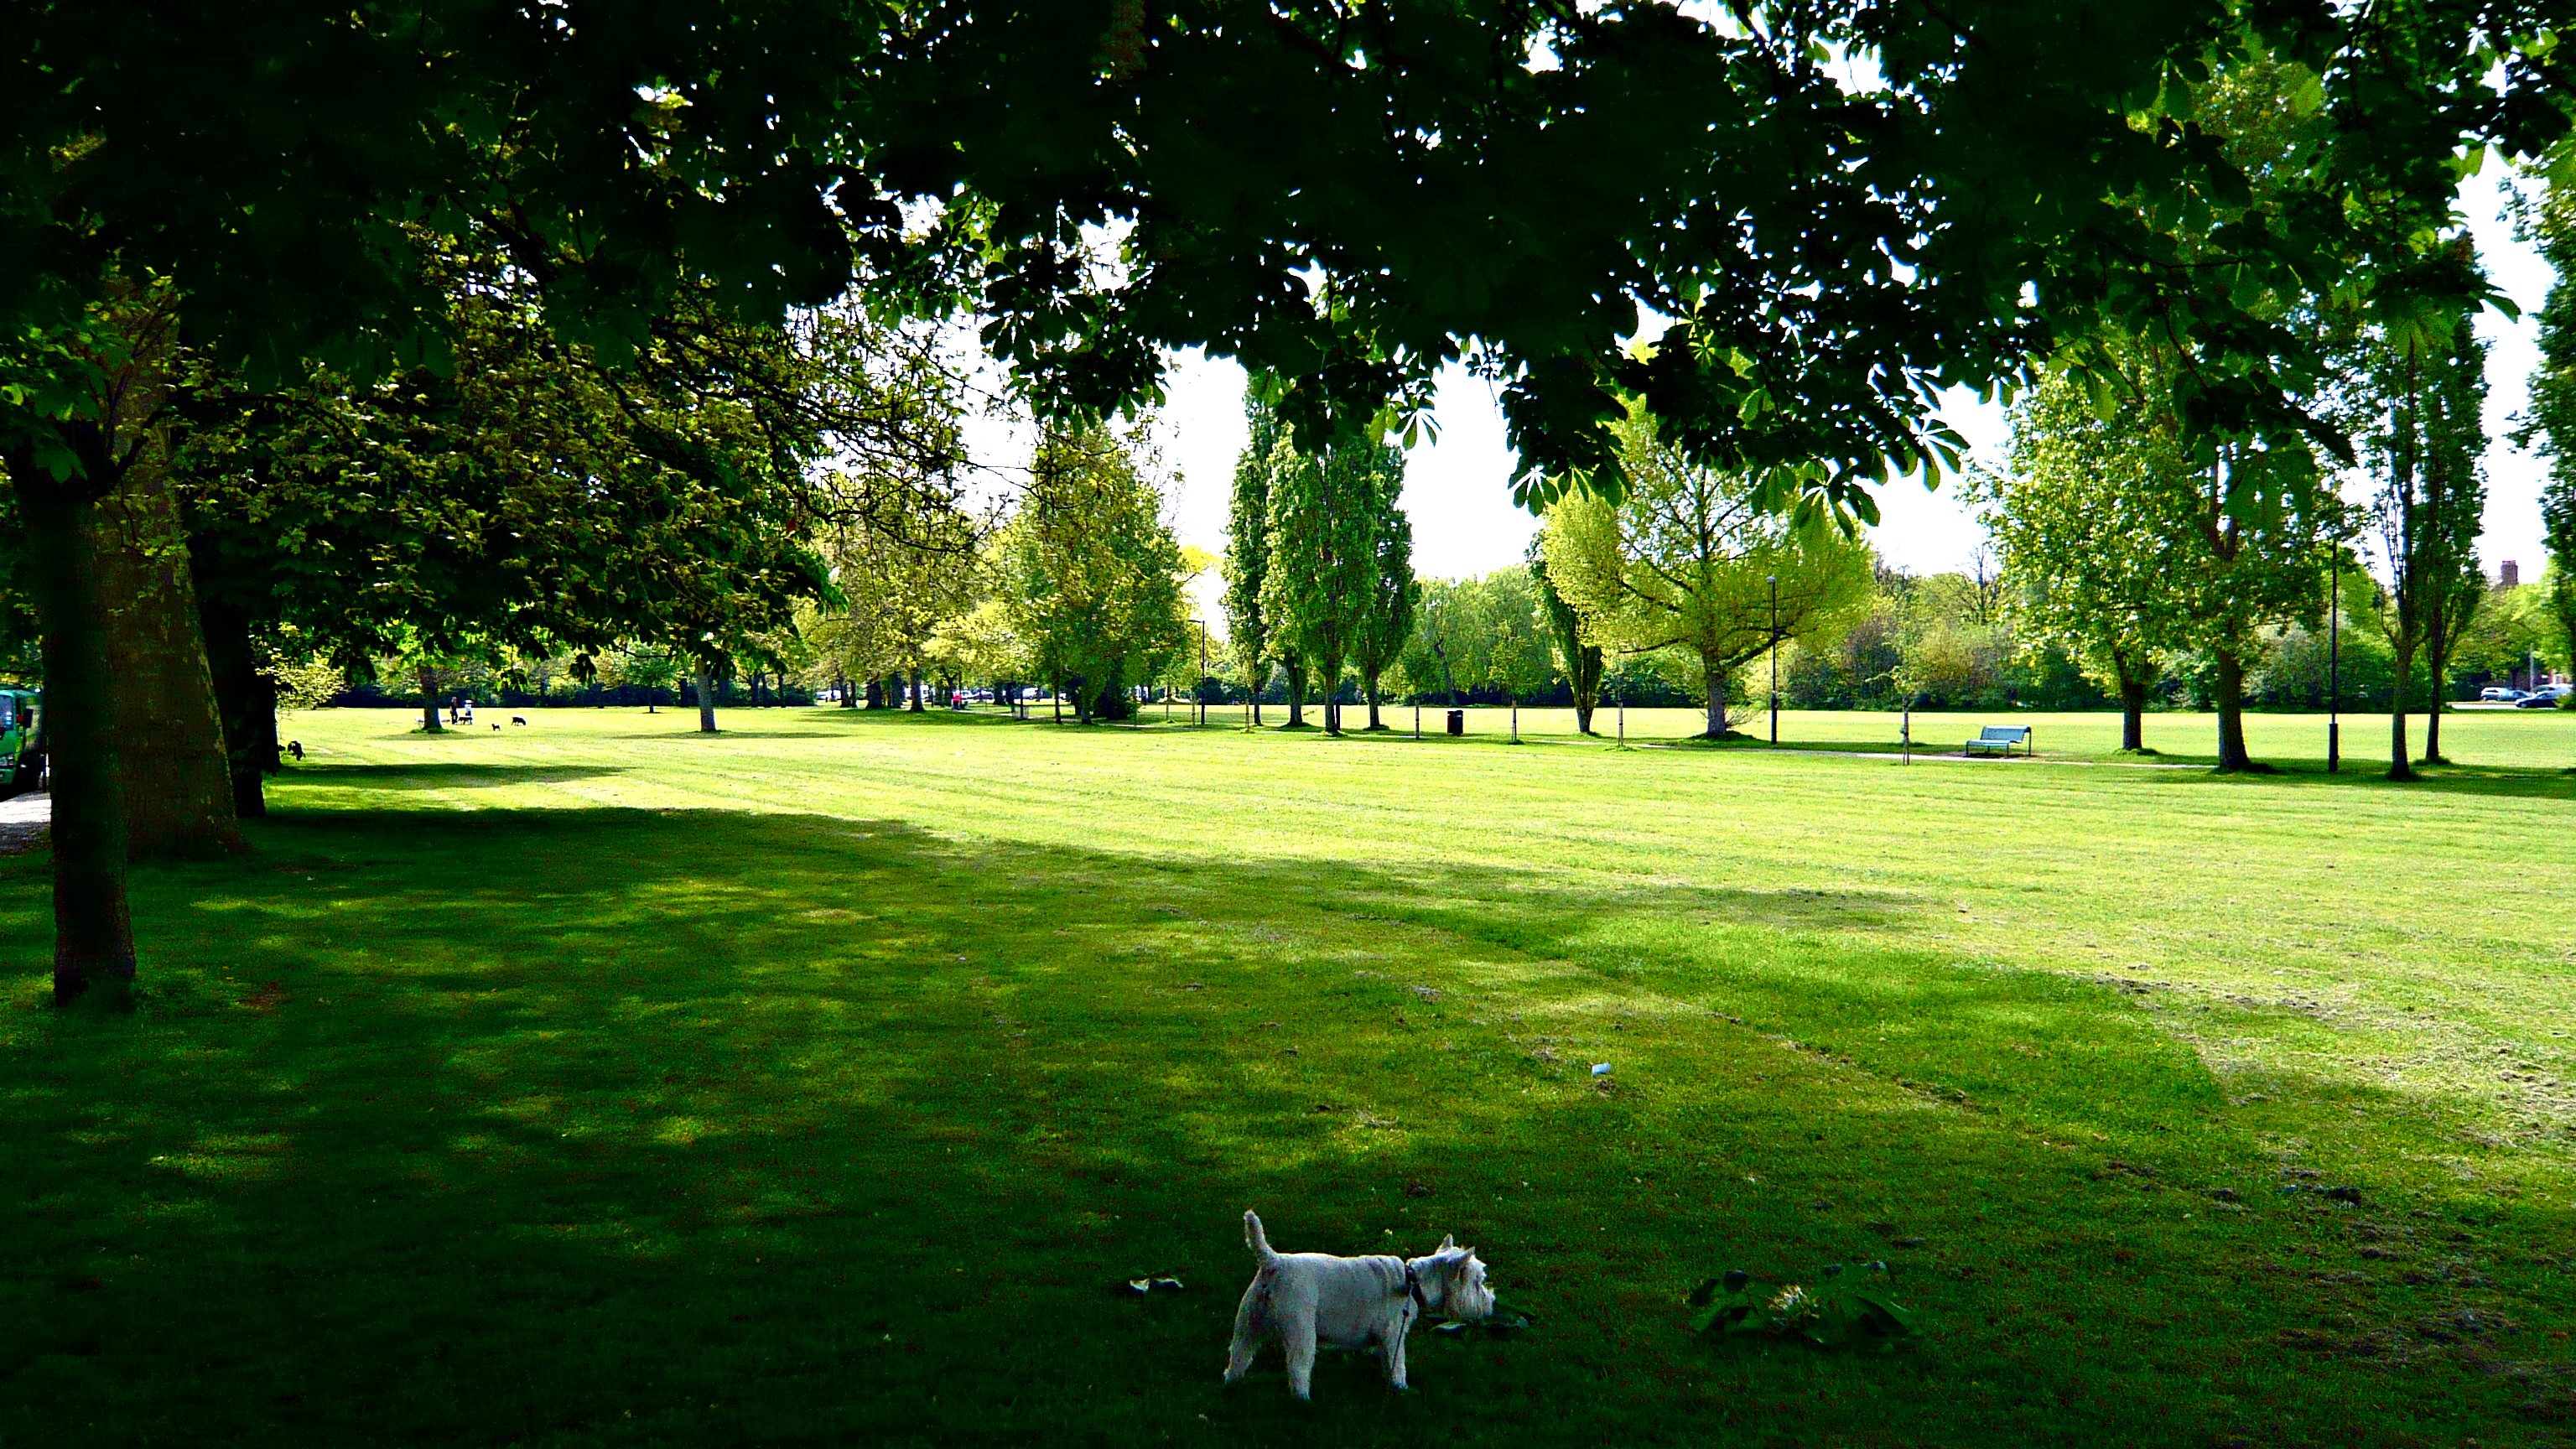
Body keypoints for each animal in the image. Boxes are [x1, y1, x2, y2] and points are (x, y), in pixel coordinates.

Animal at [1226, 1206, 1493, 1402]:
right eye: (1477, 1281)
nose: (1491, 1301)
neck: (1414, 1282)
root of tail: (1273, 1262)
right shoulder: (1393, 1333)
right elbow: (1398, 1364)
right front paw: (1401, 1389)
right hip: (1300, 1330)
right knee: (1298, 1367)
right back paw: (1303, 1400)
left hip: (1247, 1324)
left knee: (1238, 1354)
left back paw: (1233, 1383)